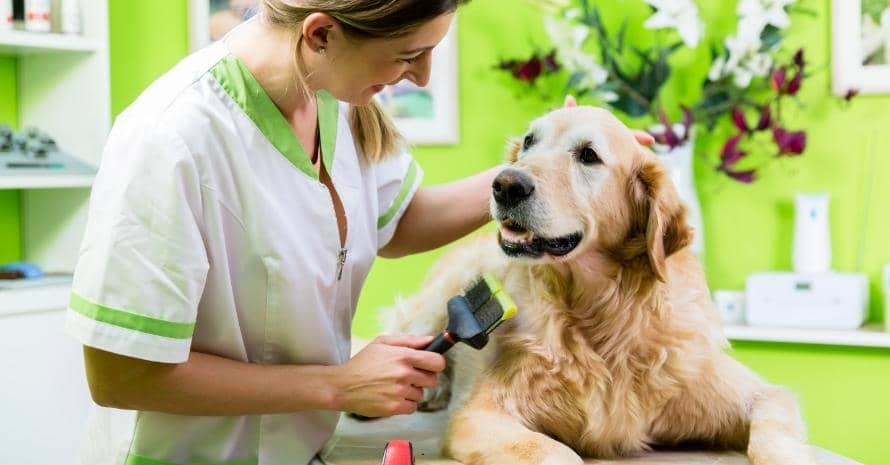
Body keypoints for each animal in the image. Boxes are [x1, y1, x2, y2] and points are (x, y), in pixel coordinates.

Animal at [382, 103, 812, 462]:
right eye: (529, 142)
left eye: (588, 155)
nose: (505, 184)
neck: (604, 313)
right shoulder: (481, 414)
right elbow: (554, 453)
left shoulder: (761, 395)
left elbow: (776, 436)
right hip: (445, 300)